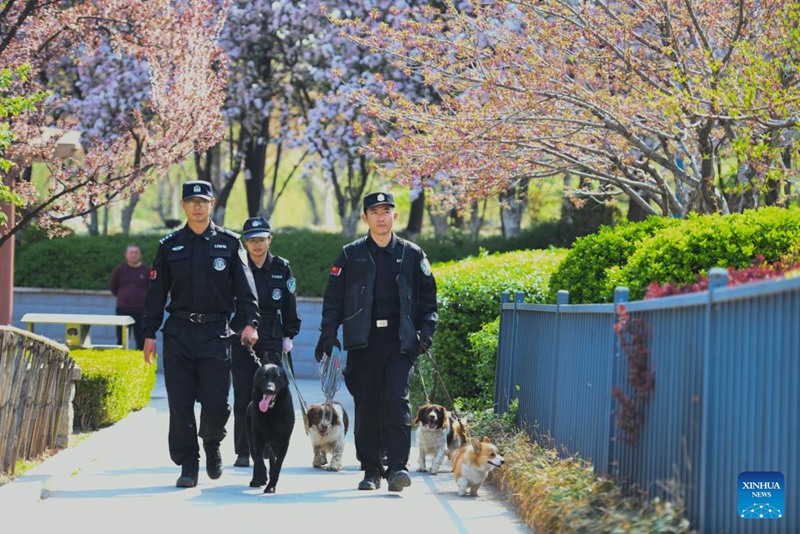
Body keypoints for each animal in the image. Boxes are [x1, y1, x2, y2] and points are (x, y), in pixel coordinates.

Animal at [245, 364, 296, 494]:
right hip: (252, 441)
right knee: (256, 458)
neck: (271, 412)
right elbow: (258, 460)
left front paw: (271, 486)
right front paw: (261, 476)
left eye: (277, 377)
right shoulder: (257, 439)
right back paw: (257, 479)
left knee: (273, 460)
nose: (269, 390)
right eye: (264, 377)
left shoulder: (284, 443)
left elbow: (277, 466)